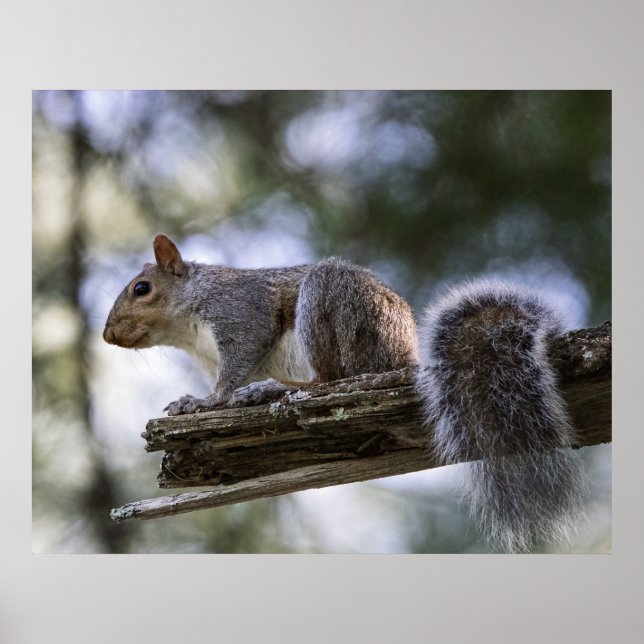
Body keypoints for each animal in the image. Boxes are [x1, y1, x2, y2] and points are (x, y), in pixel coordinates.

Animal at [104, 234, 585, 552]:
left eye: (142, 289)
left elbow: (234, 369)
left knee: (329, 378)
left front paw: (210, 401)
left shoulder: (240, 313)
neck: (190, 329)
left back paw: (271, 388)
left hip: (329, 300)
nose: (107, 335)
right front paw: (190, 402)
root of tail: (401, 358)